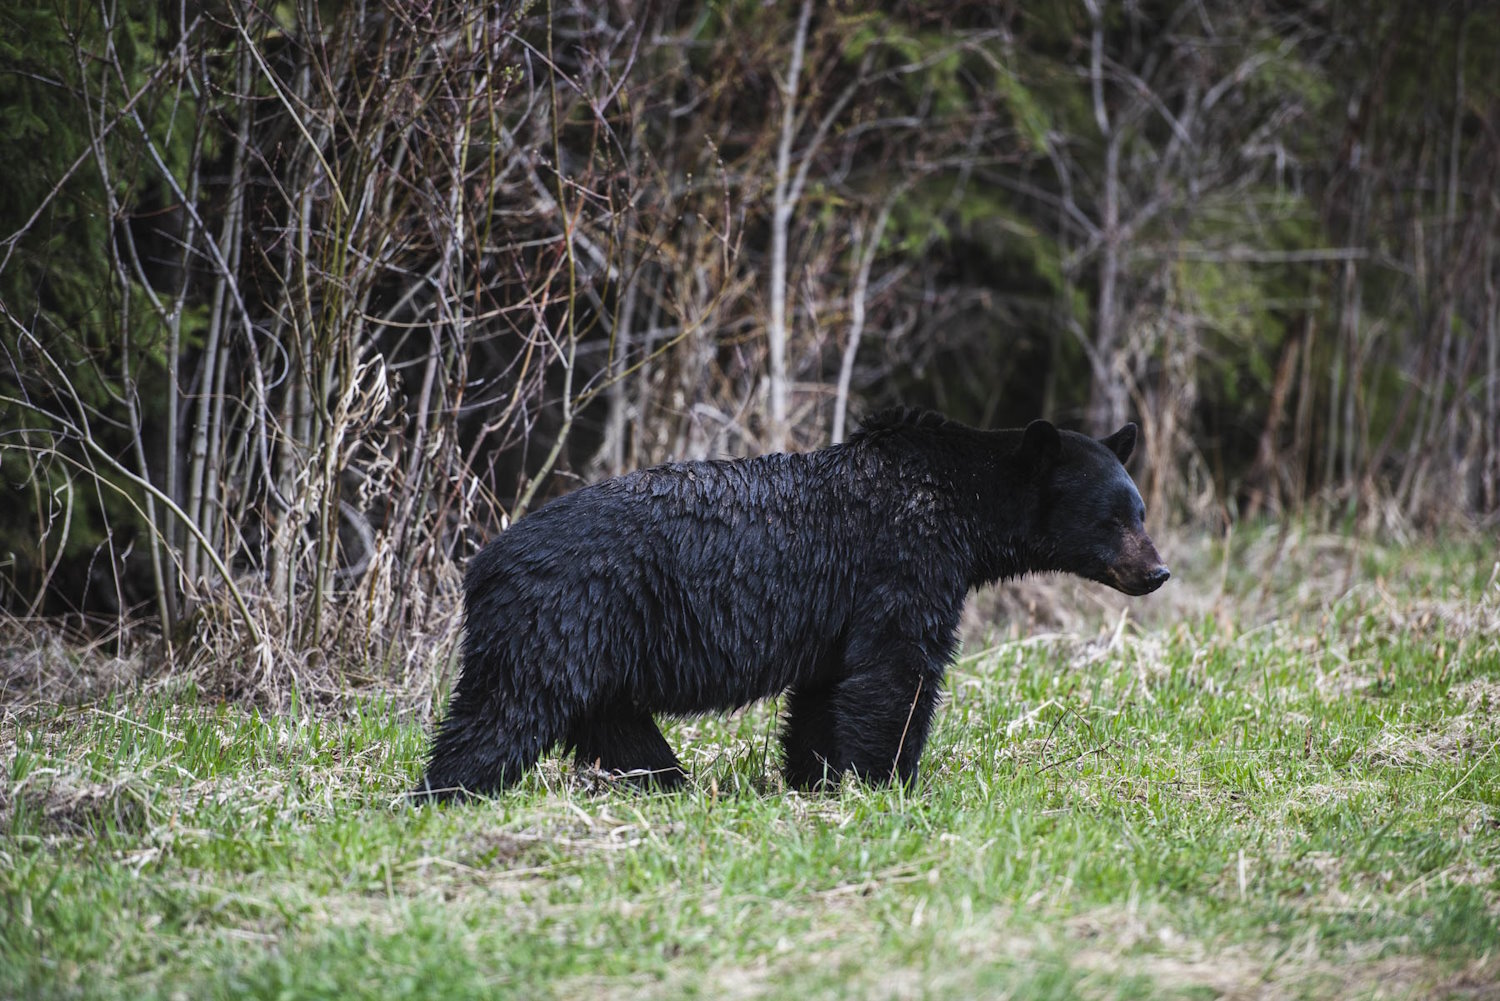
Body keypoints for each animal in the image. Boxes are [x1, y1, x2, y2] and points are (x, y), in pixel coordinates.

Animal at [415, 408, 1169, 801]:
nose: (1157, 571)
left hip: (596, 643)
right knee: (505, 710)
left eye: (1139, 510)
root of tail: (481, 564)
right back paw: (444, 794)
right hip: (558, 618)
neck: (961, 503)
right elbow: (895, 672)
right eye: (1112, 518)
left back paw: (664, 783)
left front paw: (817, 778)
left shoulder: (842, 611)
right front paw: (887, 780)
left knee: (611, 720)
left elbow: (826, 692)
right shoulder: (902, 561)